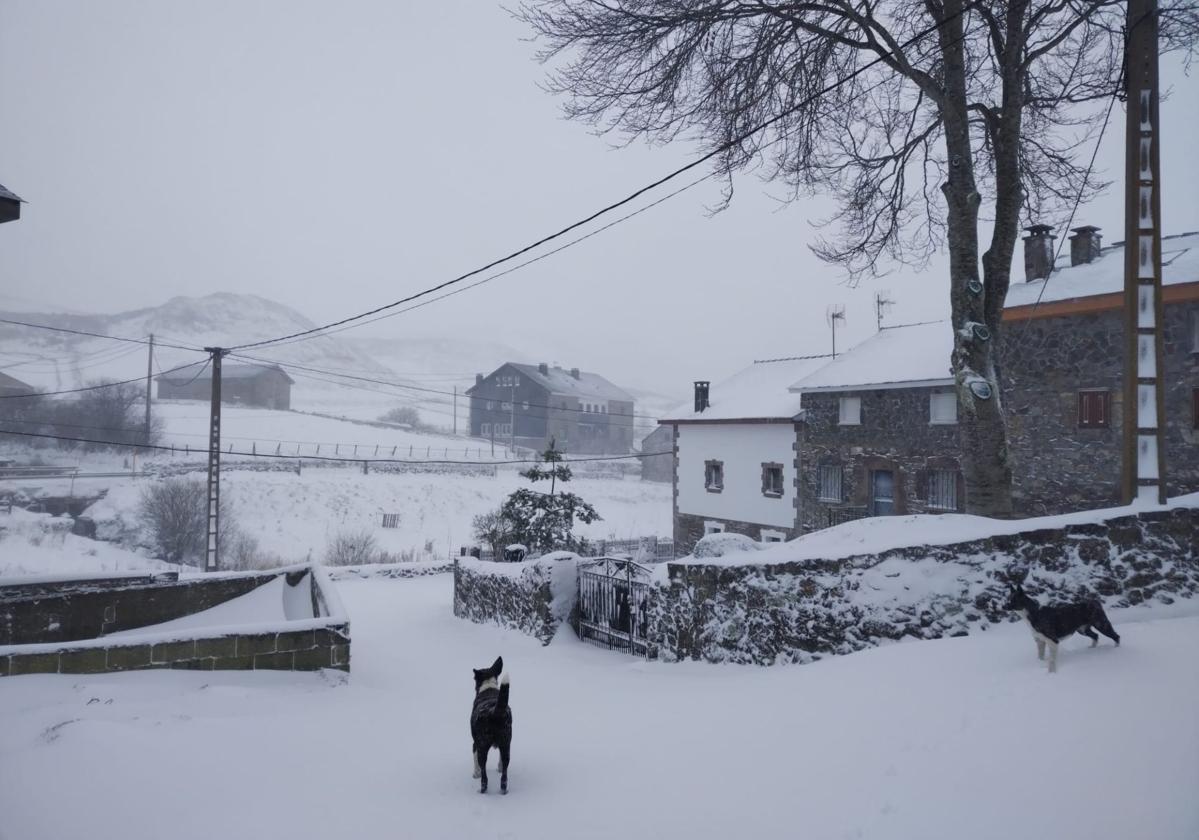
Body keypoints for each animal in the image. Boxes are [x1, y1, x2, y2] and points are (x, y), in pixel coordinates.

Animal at [467, 656, 510, 790]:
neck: (488, 686)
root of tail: (494, 712)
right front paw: (499, 768)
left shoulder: (475, 743)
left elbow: (475, 760)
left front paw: (475, 774)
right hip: (506, 743)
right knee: (505, 770)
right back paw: (503, 787)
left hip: (482, 744)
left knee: (484, 775)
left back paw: (482, 789)